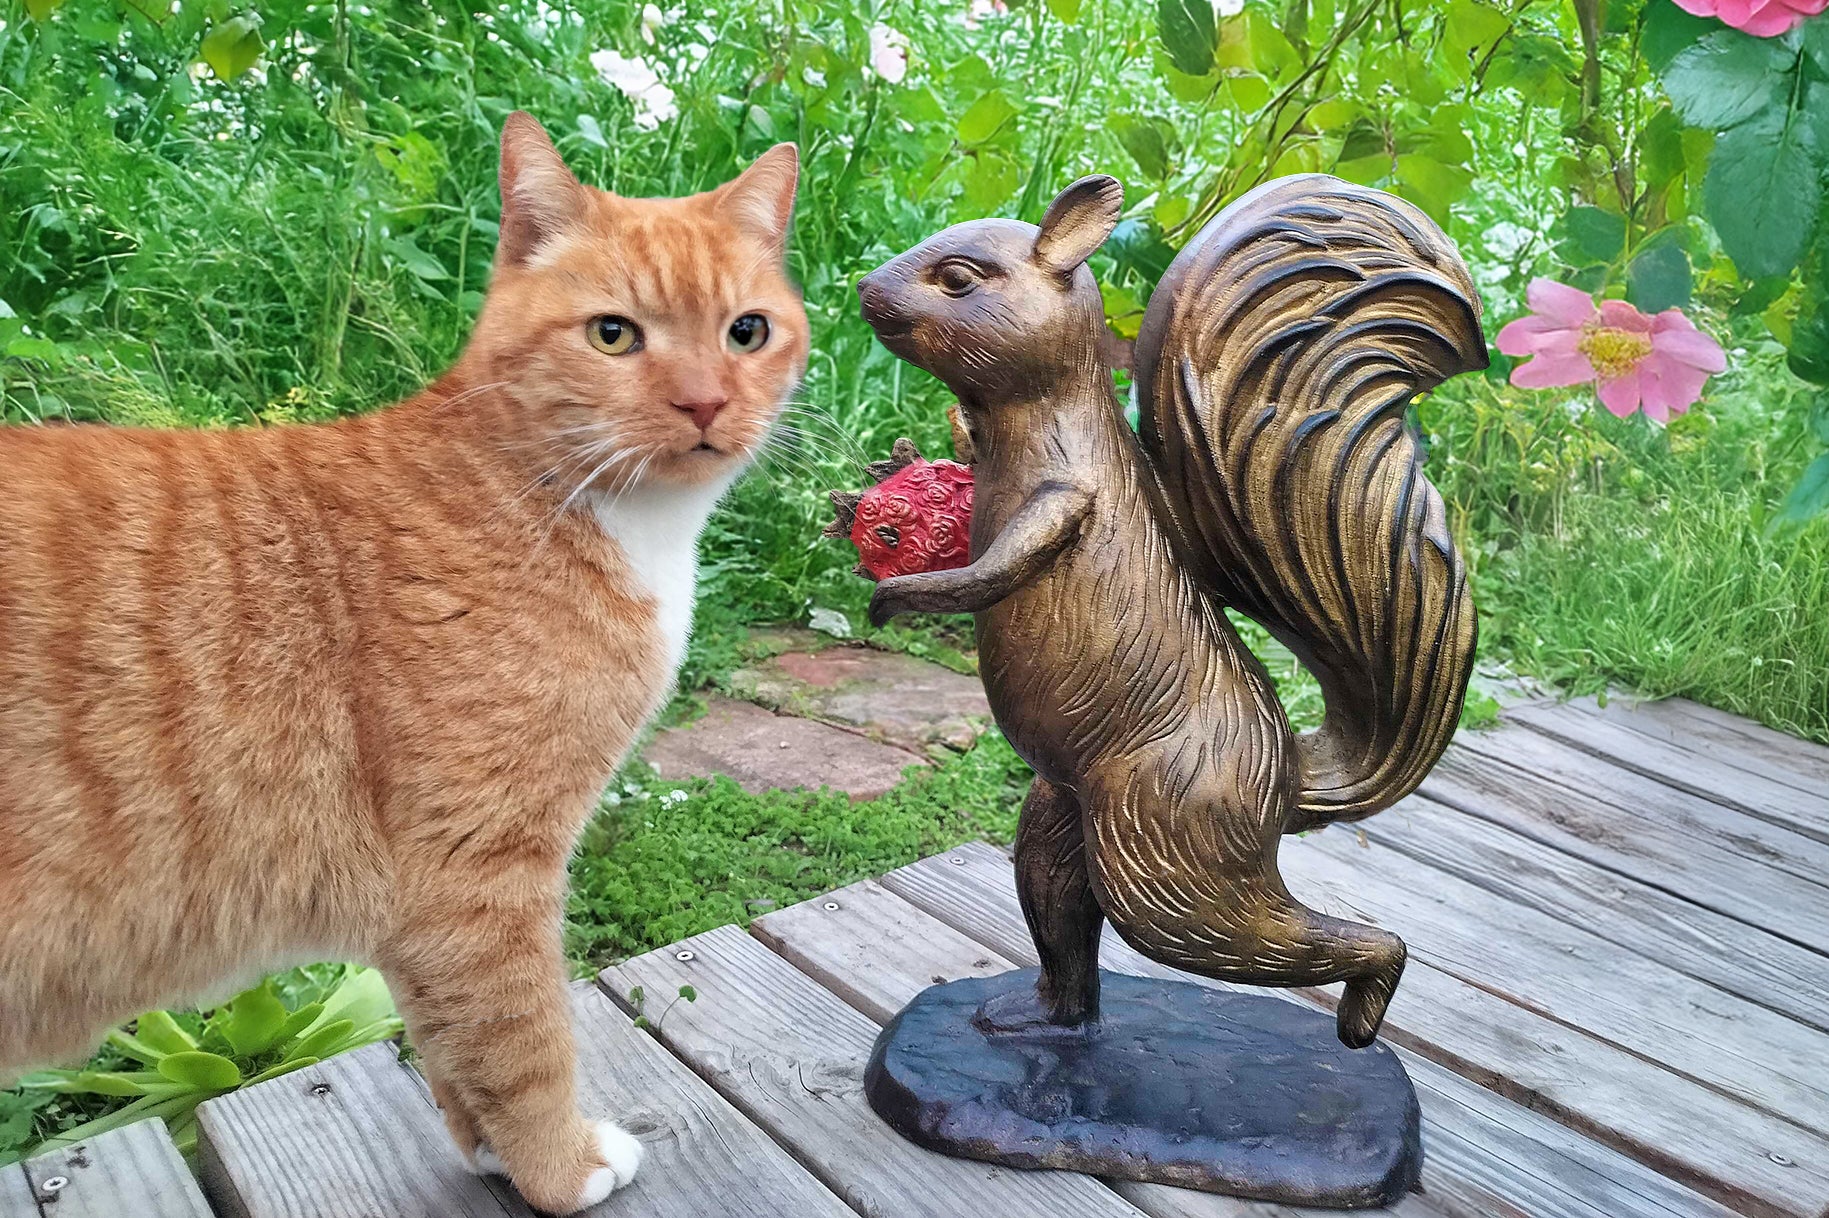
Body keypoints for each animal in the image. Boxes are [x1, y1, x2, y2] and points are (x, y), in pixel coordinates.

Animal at [0, 111, 804, 1207]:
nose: (705, 404)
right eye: (613, 335)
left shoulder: (428, 915)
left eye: (745, 333)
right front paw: (559, 1170)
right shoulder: (477, 871)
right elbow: (526, 1041)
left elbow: (450, 1045)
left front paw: (493, 1154)